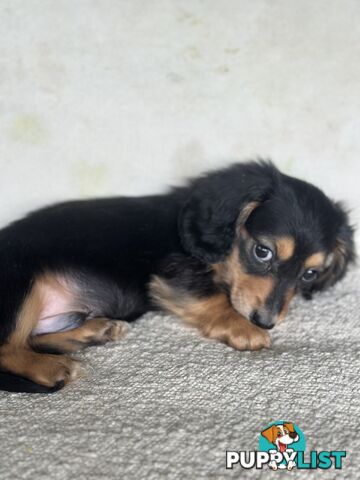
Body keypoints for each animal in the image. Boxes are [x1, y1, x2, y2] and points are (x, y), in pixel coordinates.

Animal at [0, 159, 354, 392]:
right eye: (262, 251)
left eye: (309, 274)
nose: (266, 321)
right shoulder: (174, 271)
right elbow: (212, 296)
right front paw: (243, 328)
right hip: (20, 281)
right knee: (8, 347)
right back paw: (53, 366)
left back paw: (94, 332)